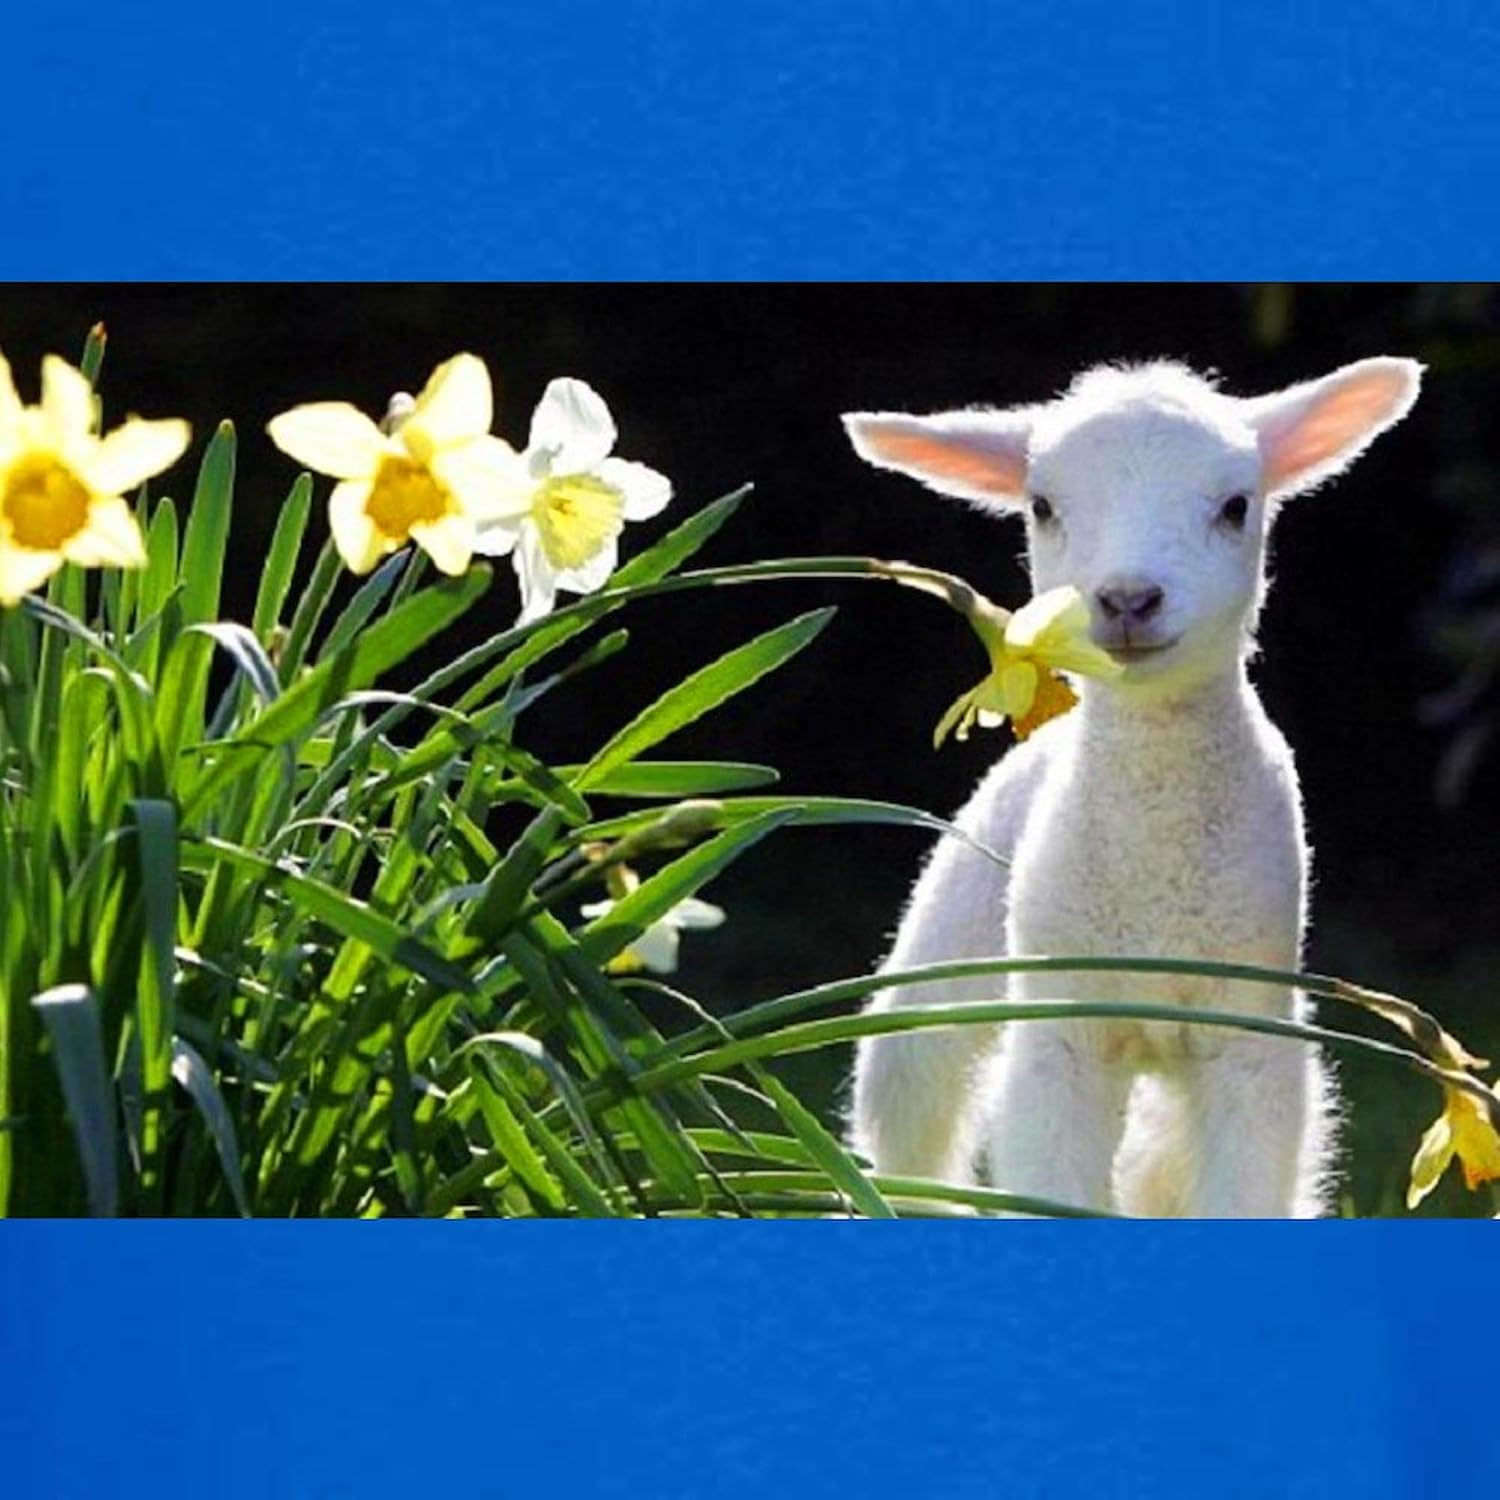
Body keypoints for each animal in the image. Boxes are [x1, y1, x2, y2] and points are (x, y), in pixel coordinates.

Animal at [841, 357, 1423, 1217]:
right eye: (1043, 506)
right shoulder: (1060, 1034)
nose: (1126, 600)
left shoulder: (1250, 1037)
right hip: (950, 950)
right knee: (913, 1108)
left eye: (1235, 506)